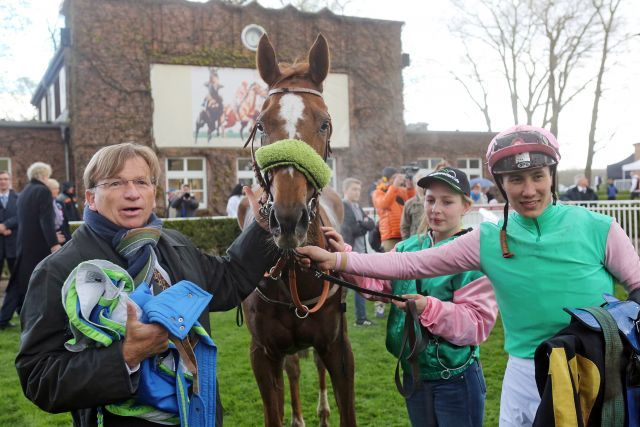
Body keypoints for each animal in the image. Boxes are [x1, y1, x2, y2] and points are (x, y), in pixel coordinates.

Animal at [238, 35, 356, 426]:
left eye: (325, 124)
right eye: (261, 125)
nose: (288, 218)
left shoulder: (338, 348)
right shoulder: (262, 354)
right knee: (293, 369)